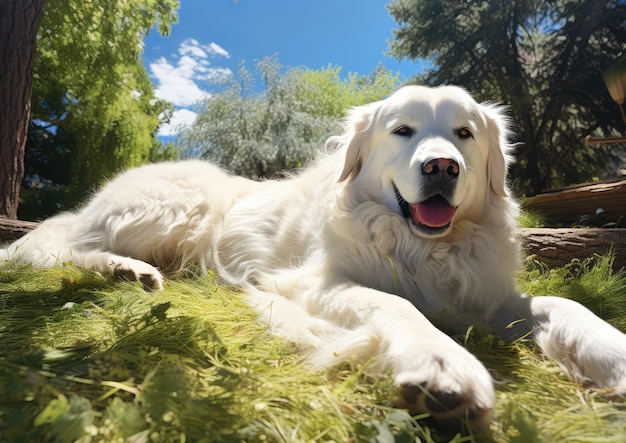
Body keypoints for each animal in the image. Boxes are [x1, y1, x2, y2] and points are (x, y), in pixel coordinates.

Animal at [2, 86, 620, 434]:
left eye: (464, 134)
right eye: (403, 131)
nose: (443, 166)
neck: (422, 246)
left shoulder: (489, 296)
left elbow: (561, 304)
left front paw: (611, 353)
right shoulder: (312, 284)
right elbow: (400, 306)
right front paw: (444, 368)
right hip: (179, 204)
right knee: (72, 249)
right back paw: (128, 271)